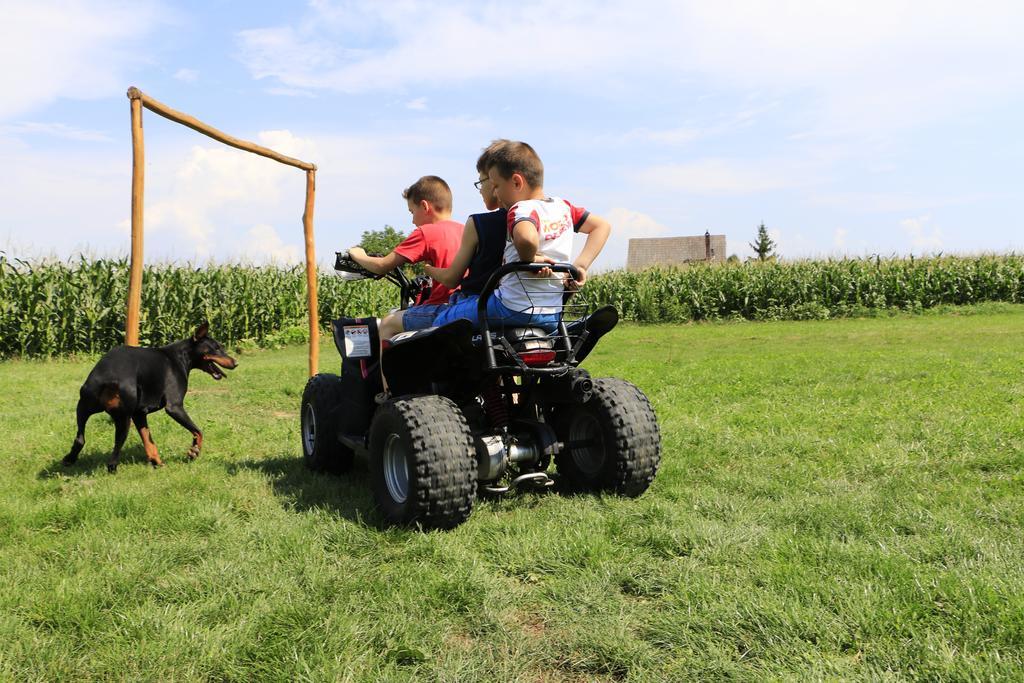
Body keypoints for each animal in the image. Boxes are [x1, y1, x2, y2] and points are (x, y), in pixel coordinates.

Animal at [64, 321, 237, 473]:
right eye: (216, 349)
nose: (236, 363)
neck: (181, 356)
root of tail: (109, 377)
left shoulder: (139, 413)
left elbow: (149, 442)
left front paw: (158, 463)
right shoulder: (174, 407)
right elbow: (198, 431)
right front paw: (193, 451)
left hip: (83, 407)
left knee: (80, 439)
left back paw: (69, 459)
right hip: (123, 418)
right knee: (115, 451)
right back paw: (111, 468)